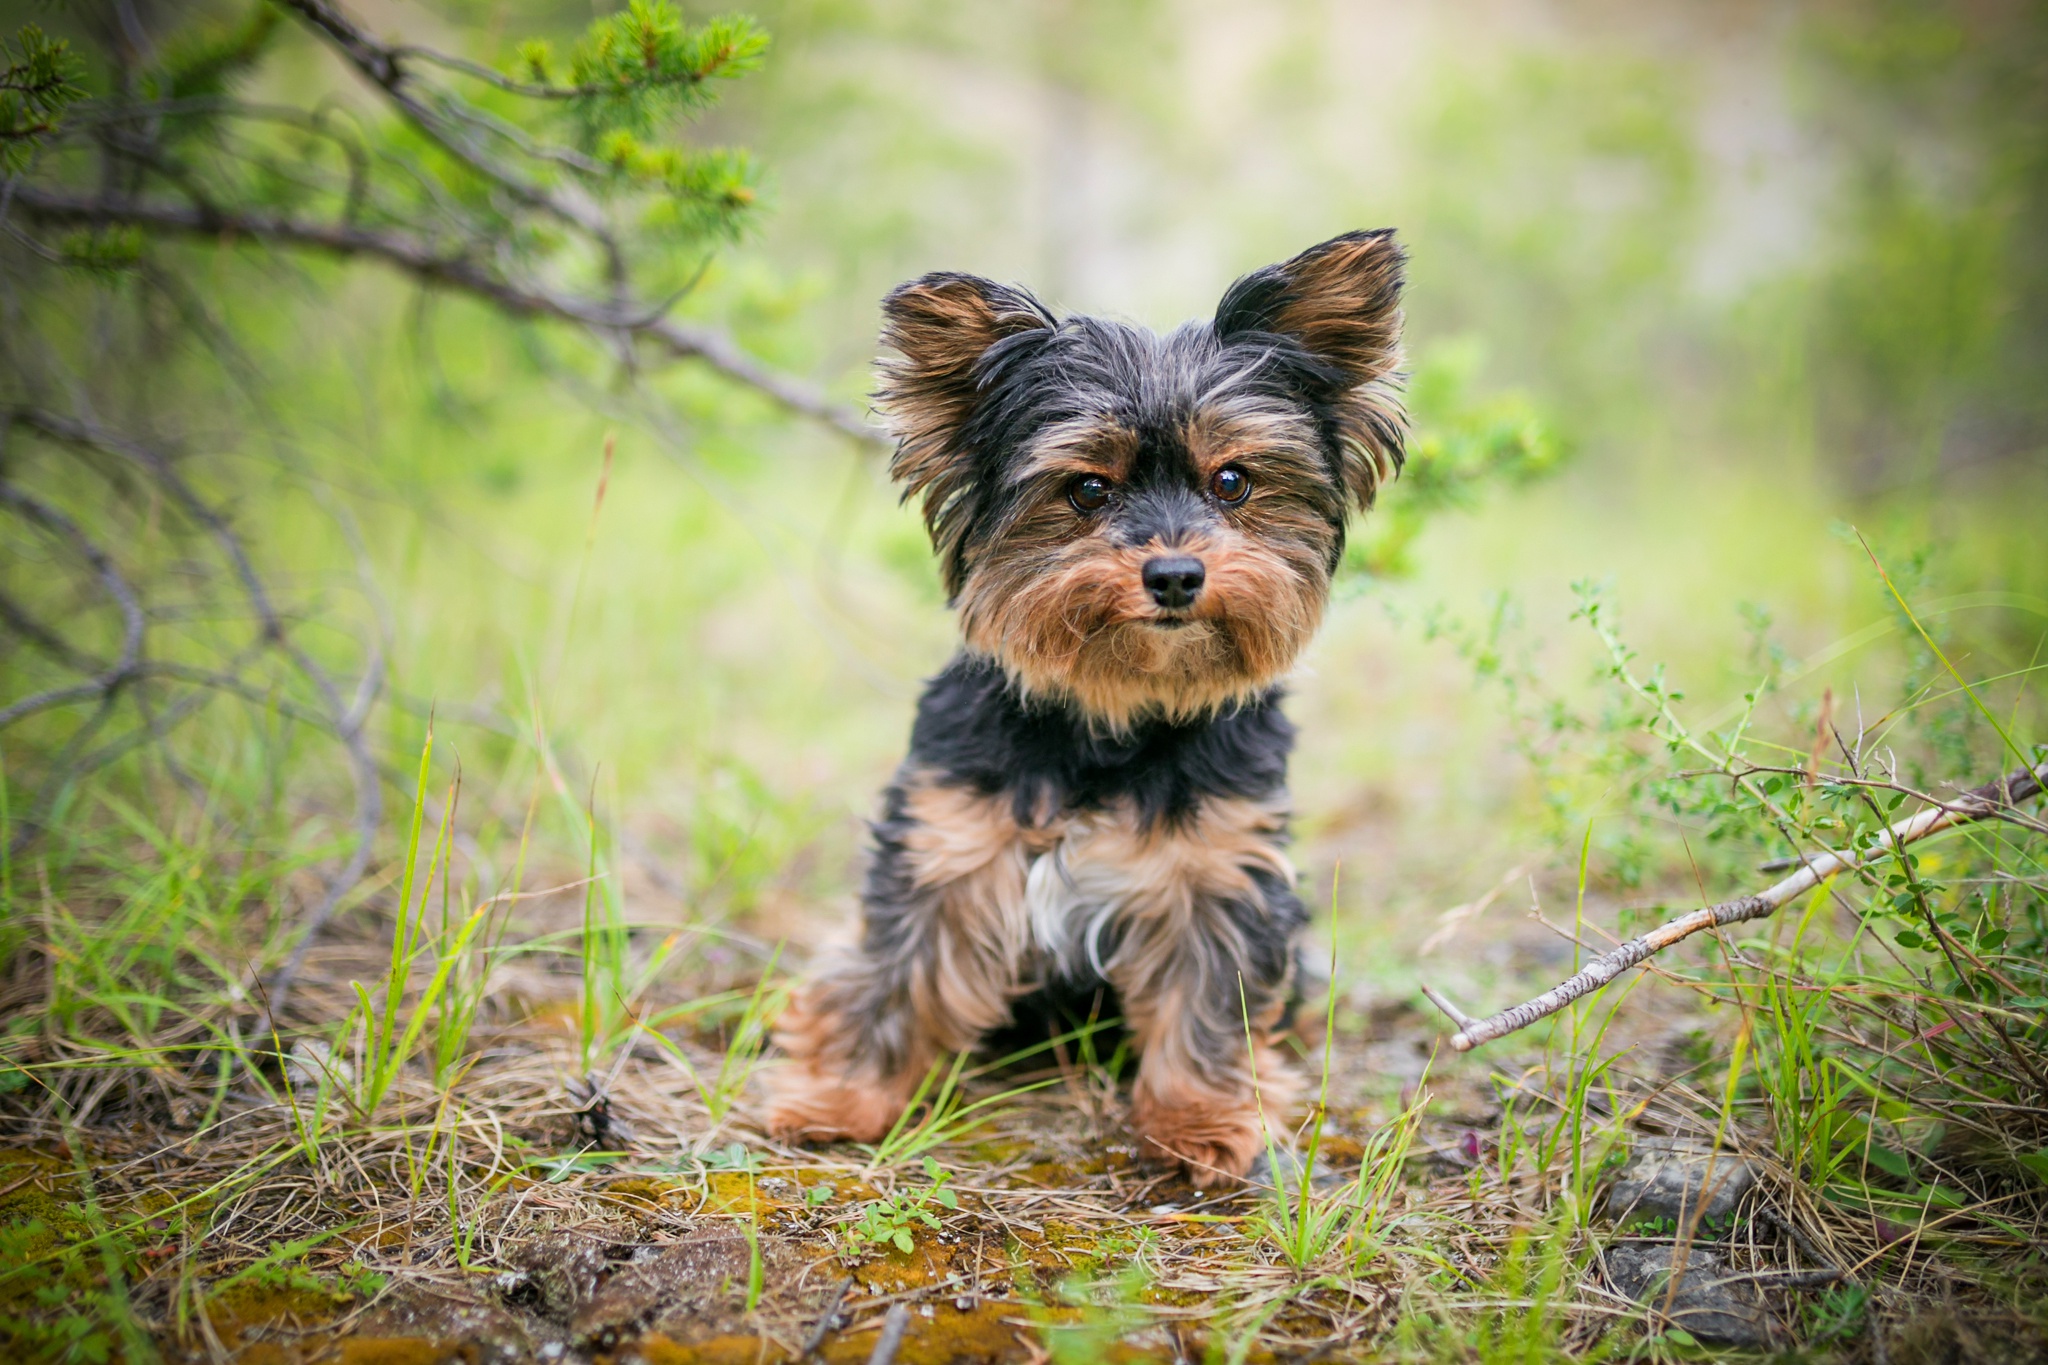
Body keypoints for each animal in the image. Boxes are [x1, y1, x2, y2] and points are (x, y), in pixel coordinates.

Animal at [770, 229, 1409, 1178]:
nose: (1175, 573)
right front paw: (841, 1095)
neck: (1115, 716)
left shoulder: (1220, 868)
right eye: (1088, 489)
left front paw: (1201, 1120)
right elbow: (898, 973)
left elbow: (1207, 999)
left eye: (1232, 481)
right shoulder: (948, 844)